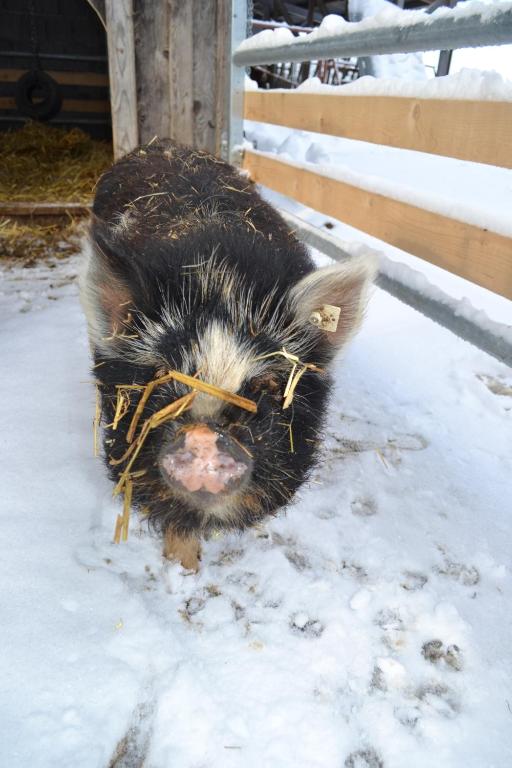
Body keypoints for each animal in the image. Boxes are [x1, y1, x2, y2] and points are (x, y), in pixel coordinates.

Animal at [81, 140, 376, 568]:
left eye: (266, 386)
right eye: (161, 375)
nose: (204, 435)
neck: (218, 279)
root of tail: (163, 143)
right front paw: (184, 568)